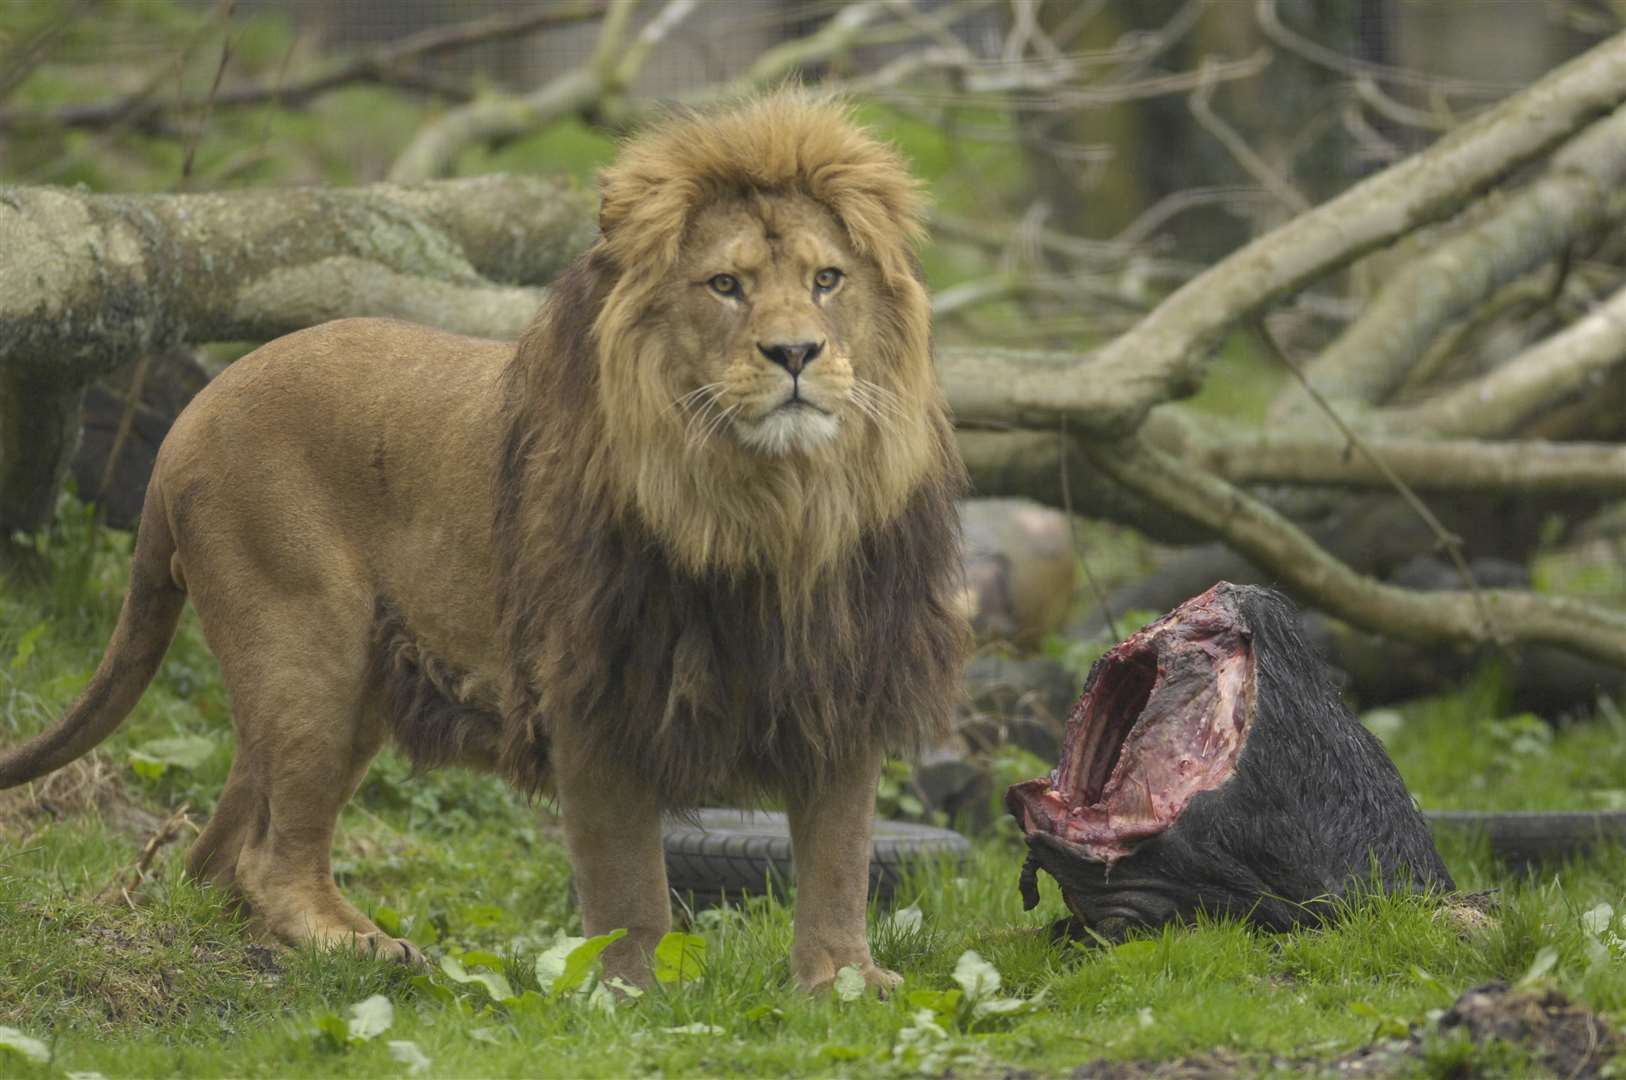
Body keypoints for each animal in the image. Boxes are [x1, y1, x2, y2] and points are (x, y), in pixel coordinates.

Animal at [0, 94, 962, 995]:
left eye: (828, 278)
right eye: (726, 285)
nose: (796, 352)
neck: (770, 503)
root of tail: (187, 421)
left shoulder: (844, 678)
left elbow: (839, 858)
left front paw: (844, 982)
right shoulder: (594, 687)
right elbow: (631, 884)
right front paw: (630, 992)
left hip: (338, 687)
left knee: (216, 856)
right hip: (310, 647)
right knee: (272, 855)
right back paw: (360, 944)